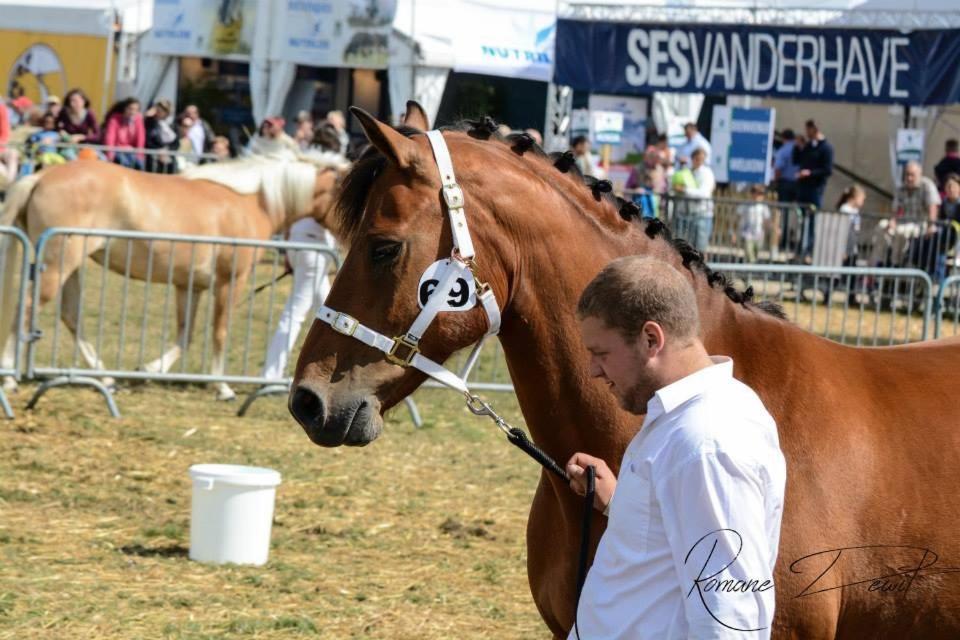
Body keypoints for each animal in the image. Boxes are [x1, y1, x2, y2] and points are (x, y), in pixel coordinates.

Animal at [0, 154, 348, 400]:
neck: (250, 202)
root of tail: (41, 176)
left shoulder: (189, 285)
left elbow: (185, 335)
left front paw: (150, 369)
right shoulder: (230, 282)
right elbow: (219, 332)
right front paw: (222, 387)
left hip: (70, 266)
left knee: (70, 316)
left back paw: (106, 378)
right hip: (58, 264)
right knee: (25, 309)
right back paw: (10, 377)